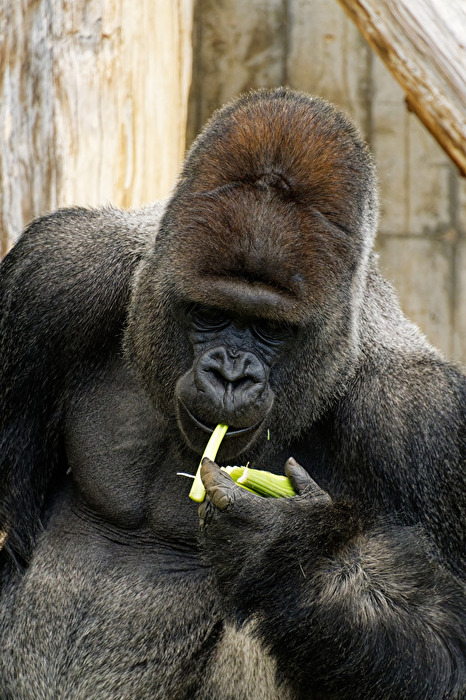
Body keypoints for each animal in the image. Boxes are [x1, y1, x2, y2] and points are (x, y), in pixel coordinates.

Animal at [0, 87, 464, 699]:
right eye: (210, 314)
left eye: (270, 329)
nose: (230, 376)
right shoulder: (51, 273)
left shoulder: (424, 424)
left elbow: (448, 644)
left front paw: (287, 549)